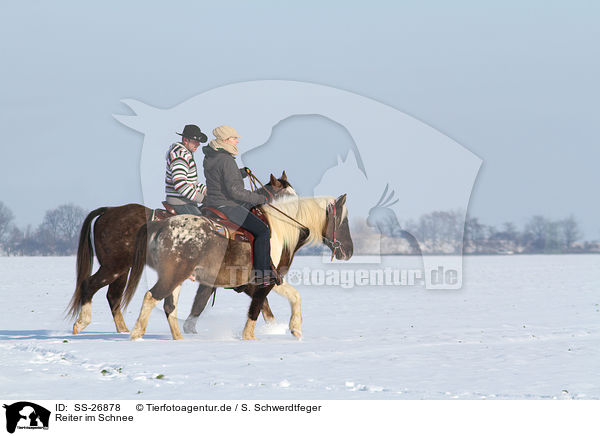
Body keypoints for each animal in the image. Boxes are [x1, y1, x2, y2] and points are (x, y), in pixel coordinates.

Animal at [124, 194, 354, 340]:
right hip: (174, 275)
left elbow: (294, 296)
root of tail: (161, 224)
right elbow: (256, 308)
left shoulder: (269, 280)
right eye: (343, 222)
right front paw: (250, 337)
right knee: (152, 297)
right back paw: (136, 334)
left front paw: (295, 328)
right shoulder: (265, 281)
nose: (349, 251)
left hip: (177, 277)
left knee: (169, 307)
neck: (281, 231)